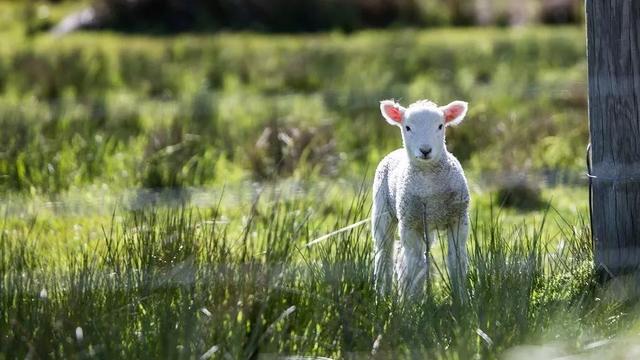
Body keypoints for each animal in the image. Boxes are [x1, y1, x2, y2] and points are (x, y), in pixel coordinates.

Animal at [370, 98, 470, 298]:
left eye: (440, 126)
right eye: (407, 127)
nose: (425, 150)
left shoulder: (458, 219)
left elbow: (456, 261)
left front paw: (462, 298)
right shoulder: (410, 224)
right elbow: (415, 265)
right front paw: (411, 302)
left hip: (426, 224)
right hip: (382, 211)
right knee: (385, 254)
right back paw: (382, 295)